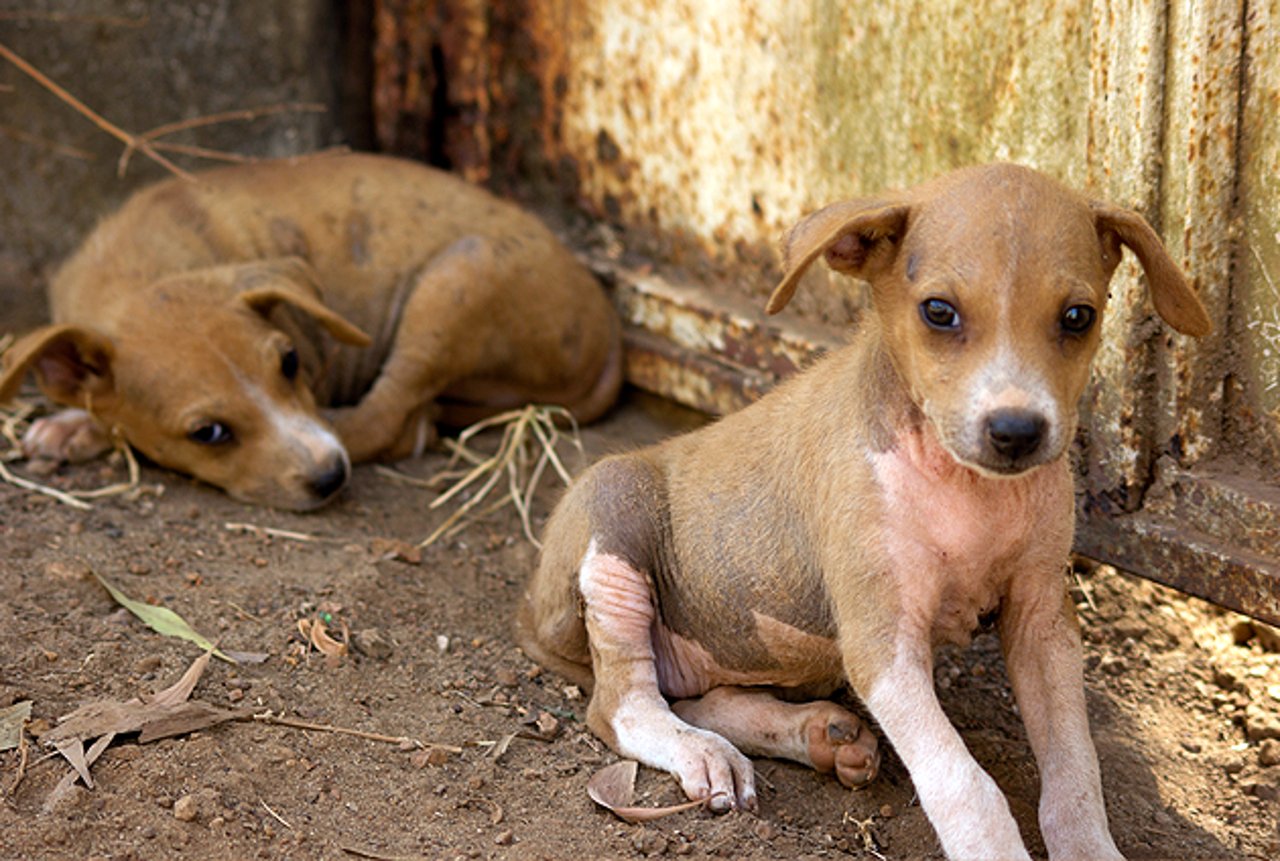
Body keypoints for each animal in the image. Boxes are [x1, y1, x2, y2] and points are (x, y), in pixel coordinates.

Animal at [0, 152, 619, 511]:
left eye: (290, 362)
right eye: (208, 434)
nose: (330, 476)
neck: (143, 271)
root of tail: (605, 337)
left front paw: (78, 427)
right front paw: (74, 423)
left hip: (459, 280)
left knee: (391, 419)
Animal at [517, 163, 1208, 859]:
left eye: (1077, 317)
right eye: (939, 311)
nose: (1016, 431)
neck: (969, 487)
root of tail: (529, 610)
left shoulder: (1043, 623)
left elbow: (1076, 771)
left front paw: (1091, 846)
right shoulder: (884, 642)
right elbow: (966, 785)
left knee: (699, 696)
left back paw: (816, 735)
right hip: (614, 516)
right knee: (625, 705)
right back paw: (703, 754)